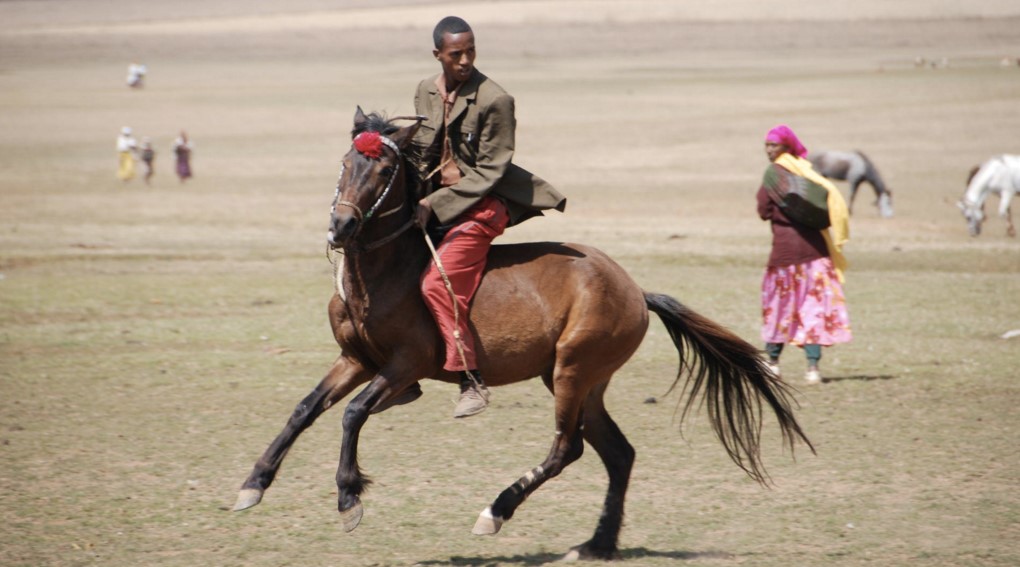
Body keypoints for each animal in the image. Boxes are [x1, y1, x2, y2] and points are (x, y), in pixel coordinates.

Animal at [234, 108, 816, 558]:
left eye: (382, 170)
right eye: (345, 163)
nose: (342, 227)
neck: (383, 272)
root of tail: (633, 288)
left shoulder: (403, 365)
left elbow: (353, 414)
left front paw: (349, 498)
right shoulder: (356, 361)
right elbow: (305, 410)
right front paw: (253, 484)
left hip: (571, 371)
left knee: (566, 449)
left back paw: (496, 511)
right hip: (583, 381)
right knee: (617, 453)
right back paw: (597, 544)